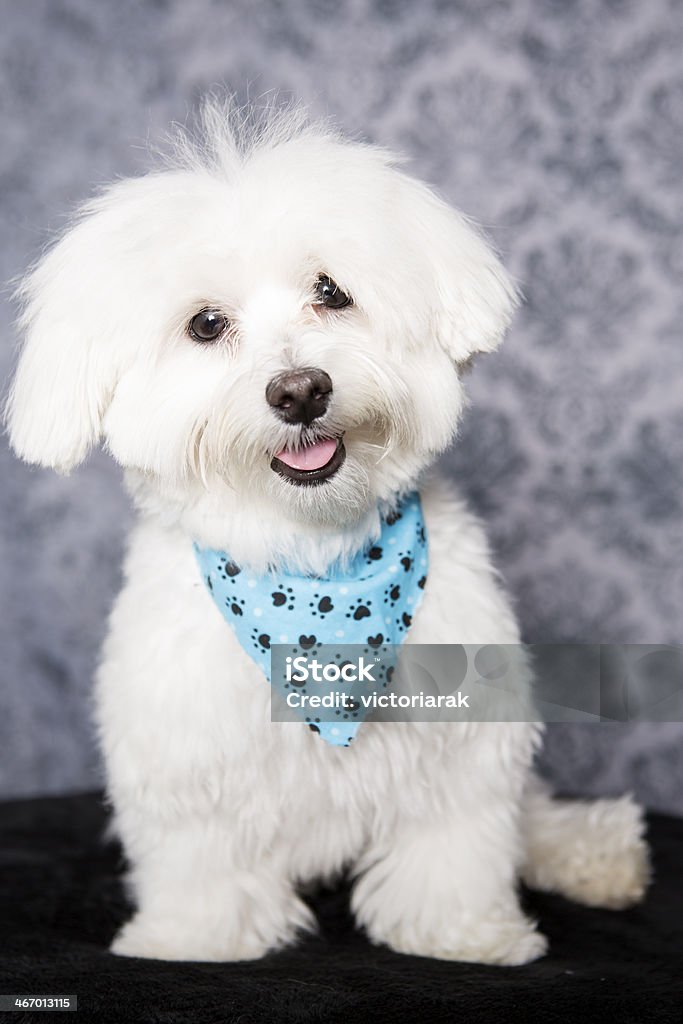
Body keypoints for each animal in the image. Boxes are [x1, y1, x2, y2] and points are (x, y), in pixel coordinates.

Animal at [6, 99, 651, 962]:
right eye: (205, 324)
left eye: (329, 291)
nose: (300, 390)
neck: (314, 564)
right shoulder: (186, 752)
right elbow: (200, 856)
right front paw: (196, 937)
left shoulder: (459, 741)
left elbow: (455, 844)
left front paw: (461, 933)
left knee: (531, 817)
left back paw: (593, 853)